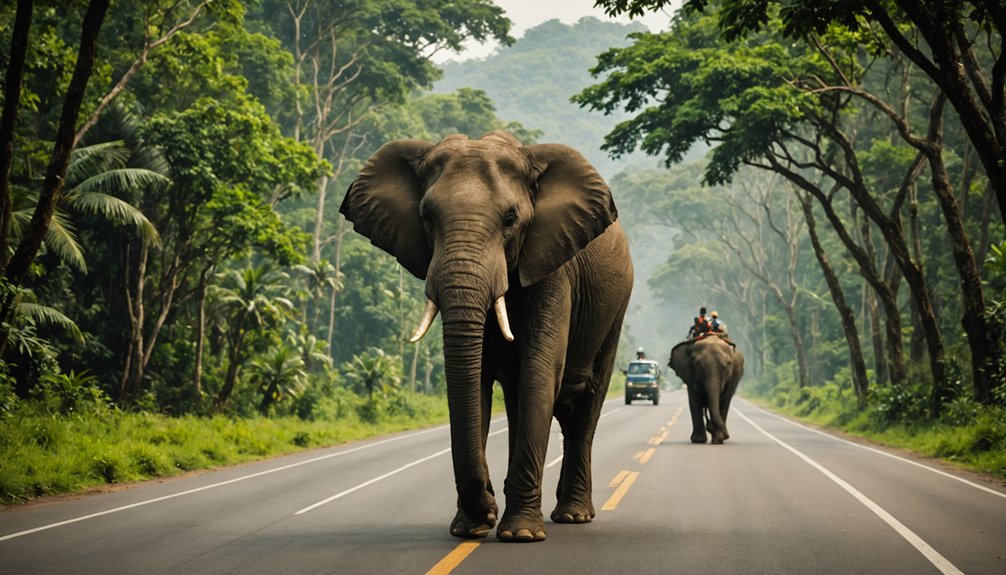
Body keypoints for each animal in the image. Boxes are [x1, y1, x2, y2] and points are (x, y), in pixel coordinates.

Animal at [342, 130, 631, 542]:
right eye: (426, 217)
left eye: (510, 219)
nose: (488, 509)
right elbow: (476, 382)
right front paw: (470, 529)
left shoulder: (554, 268)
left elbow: (541, 374)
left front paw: (519, 535)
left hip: (614, 309)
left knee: (584, 408)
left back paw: (572, 516)